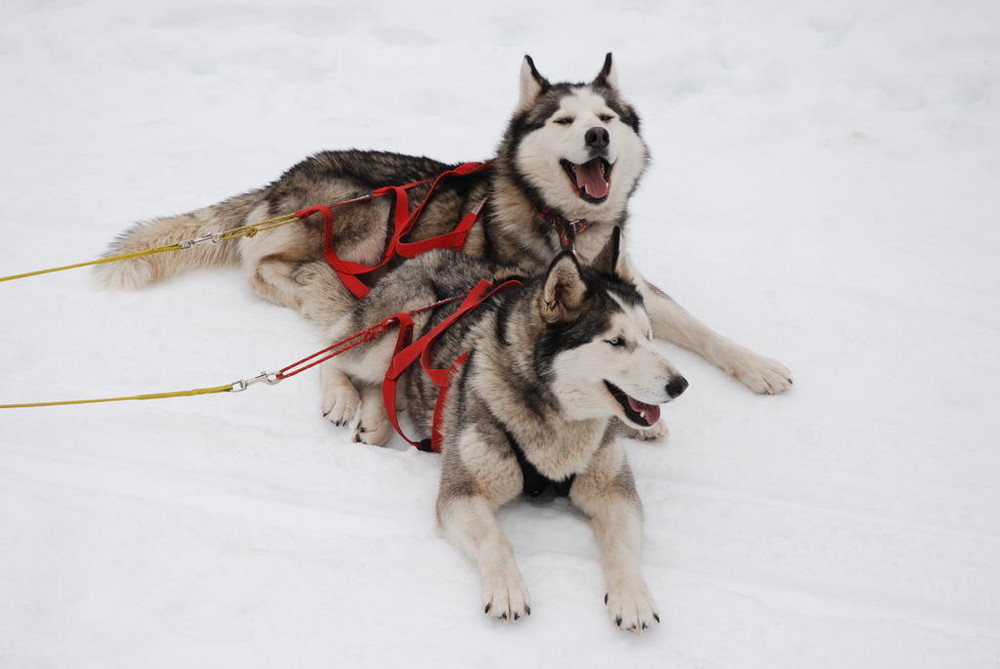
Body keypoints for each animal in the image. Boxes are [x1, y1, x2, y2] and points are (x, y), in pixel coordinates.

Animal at [97, 54, 792, 396]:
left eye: (606, 119)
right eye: (564, 122)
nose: (596, 136)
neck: (566, 225)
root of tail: (282, 180)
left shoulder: (630, 281)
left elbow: (700, 329)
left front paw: (757, 365)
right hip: (371, 212)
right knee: (265, 270)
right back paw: (318, 290)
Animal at [324, 228, 684, 628]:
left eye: (649, 337)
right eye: (616, 341)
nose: (680, 385)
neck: (558, 420)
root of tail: (433, 253)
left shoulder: (614, 491)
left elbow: (621, 544)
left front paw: (632, 597)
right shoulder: (463, 492)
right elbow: (497, 540)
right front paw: (507, 590)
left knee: (385, 382)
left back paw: (376, 420)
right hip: (394, 329)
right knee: (334, 353)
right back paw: (342, 398)